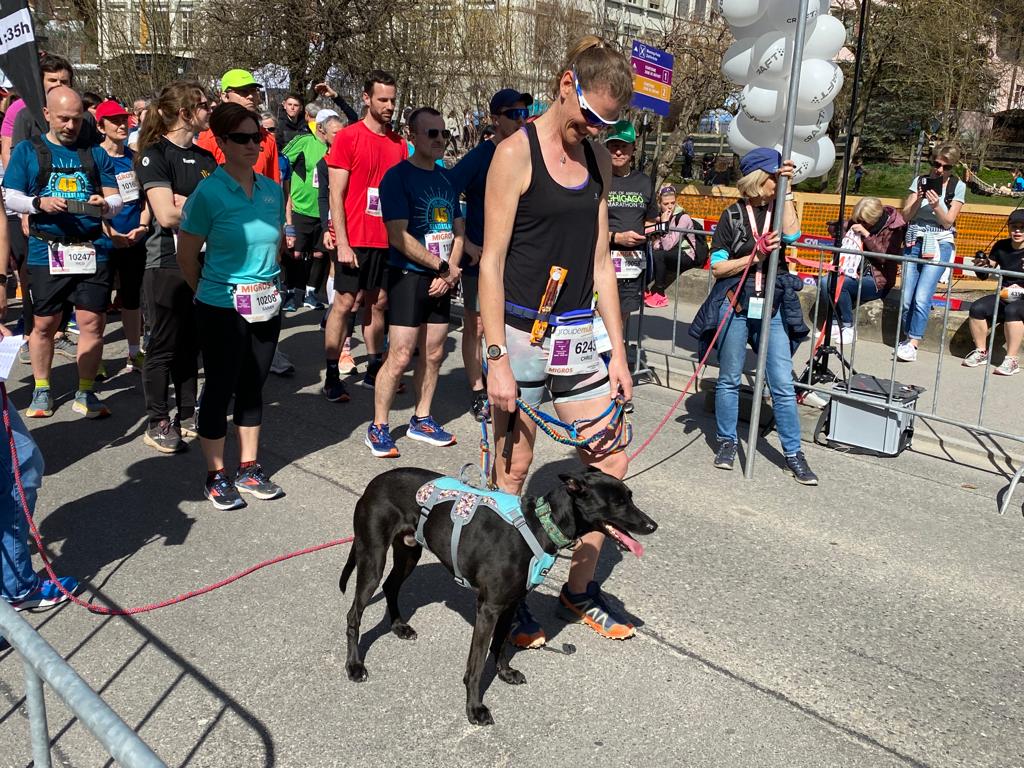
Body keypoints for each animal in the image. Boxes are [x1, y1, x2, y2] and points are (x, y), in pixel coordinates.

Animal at [339, 466, 657, 726]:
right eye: (617, 502)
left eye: (630, 497)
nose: (652, 525)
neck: (541, 526)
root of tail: (374, 483)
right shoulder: (488, 608)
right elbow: (476, 664)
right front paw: (474, 708)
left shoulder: (511, 603)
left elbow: (501, 644)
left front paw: (504, 673)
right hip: (372, 559)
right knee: (354, 613)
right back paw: (354, 666)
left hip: (408, 552)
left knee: (391, 587)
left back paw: (398, 626)